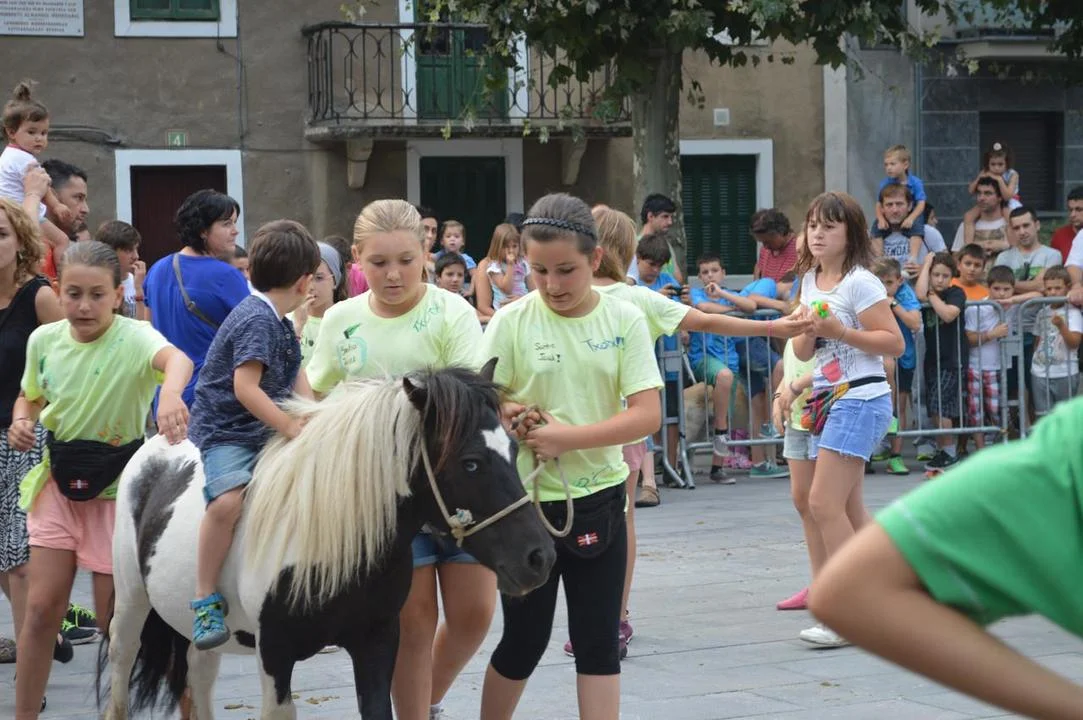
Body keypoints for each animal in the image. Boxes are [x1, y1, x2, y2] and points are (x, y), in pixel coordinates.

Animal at [99, 360, 557, 719]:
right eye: (471, 463)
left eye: (514, 448)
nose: (540, 557)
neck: (323, 541)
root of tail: (158, 442)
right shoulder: (275, 656)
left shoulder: (376, 643)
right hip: (131, 603)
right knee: (123, 665)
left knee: (200, 671)